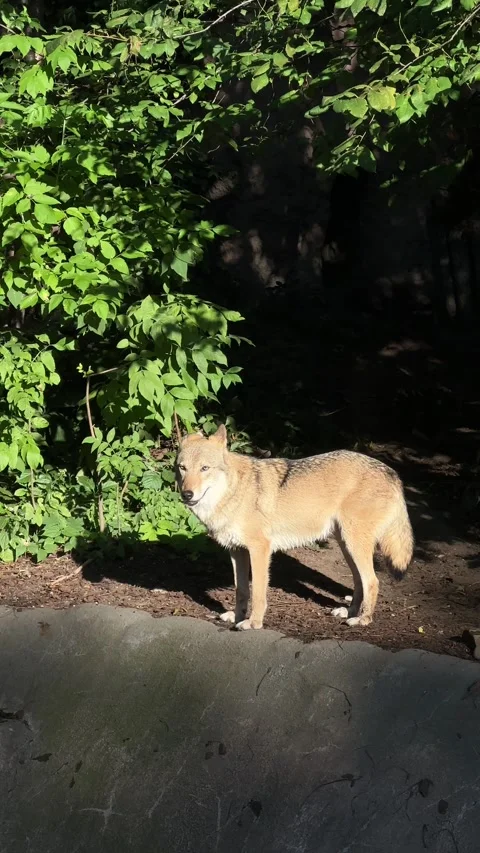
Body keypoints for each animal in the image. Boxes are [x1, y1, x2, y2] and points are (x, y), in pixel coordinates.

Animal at [175, 425, 413, 630]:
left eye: (205, 468)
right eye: (183, 468)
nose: (186, 494)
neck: (234, 491)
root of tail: (393, 474)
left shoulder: (260, 549)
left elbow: (258, 593)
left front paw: (253, 623)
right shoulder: (237, 551)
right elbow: (241, 590)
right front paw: (236, 617)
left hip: (355, 545)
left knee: (372, 581)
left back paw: (363, 619)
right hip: (347, 547)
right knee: (359, 582)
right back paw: (349, 612)